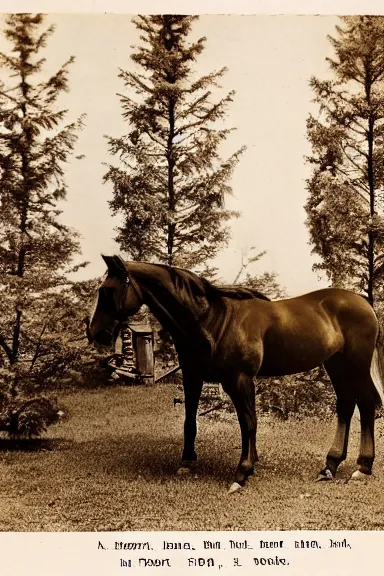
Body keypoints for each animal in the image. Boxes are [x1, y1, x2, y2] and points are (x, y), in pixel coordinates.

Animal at [87, 255, 384, 490]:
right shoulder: (193, 377)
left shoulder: (239, 380)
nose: (95, 333)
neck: (212, 320)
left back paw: (362, 467)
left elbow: (248, 423)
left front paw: (243, 472)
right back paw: (330, 466)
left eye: (108, 291)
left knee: (366, 404)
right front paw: (187, 461)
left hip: (355, 366)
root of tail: (365, 304)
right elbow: (190, 420)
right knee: (347, 405)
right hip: (336, 365)